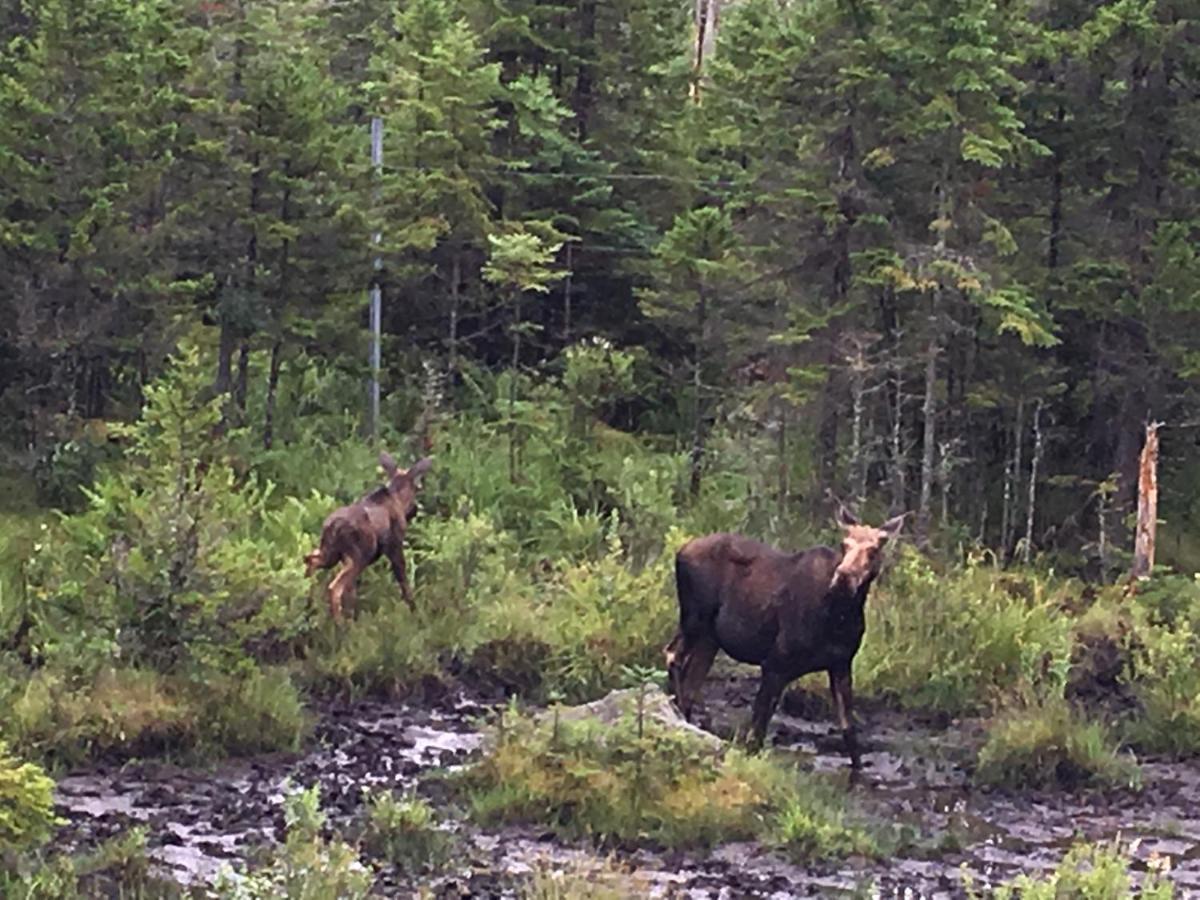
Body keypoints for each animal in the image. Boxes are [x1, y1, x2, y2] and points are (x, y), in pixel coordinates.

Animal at [302, 453, 434, 624]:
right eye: (417, 488)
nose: (414, 510)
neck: (397, 498)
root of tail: (332, 526)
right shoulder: (394, 545)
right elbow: (403, 580)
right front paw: (414, 610)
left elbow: (352, 593)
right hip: (357, 557)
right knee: (334, 587)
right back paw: (339, 624)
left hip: (330, 554)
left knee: (310, 560)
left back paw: (309, 606)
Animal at [662, 508, 902, 768]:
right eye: (844, 544)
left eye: (873, 550)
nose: (843, 577)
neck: (839, 617)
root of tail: (680, 550)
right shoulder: (775, 664)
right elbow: (756, 733)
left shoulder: (841, 665)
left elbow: (851, 736)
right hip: (694, 618)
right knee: (672, 654)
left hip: (709, 639)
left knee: (690, 685)